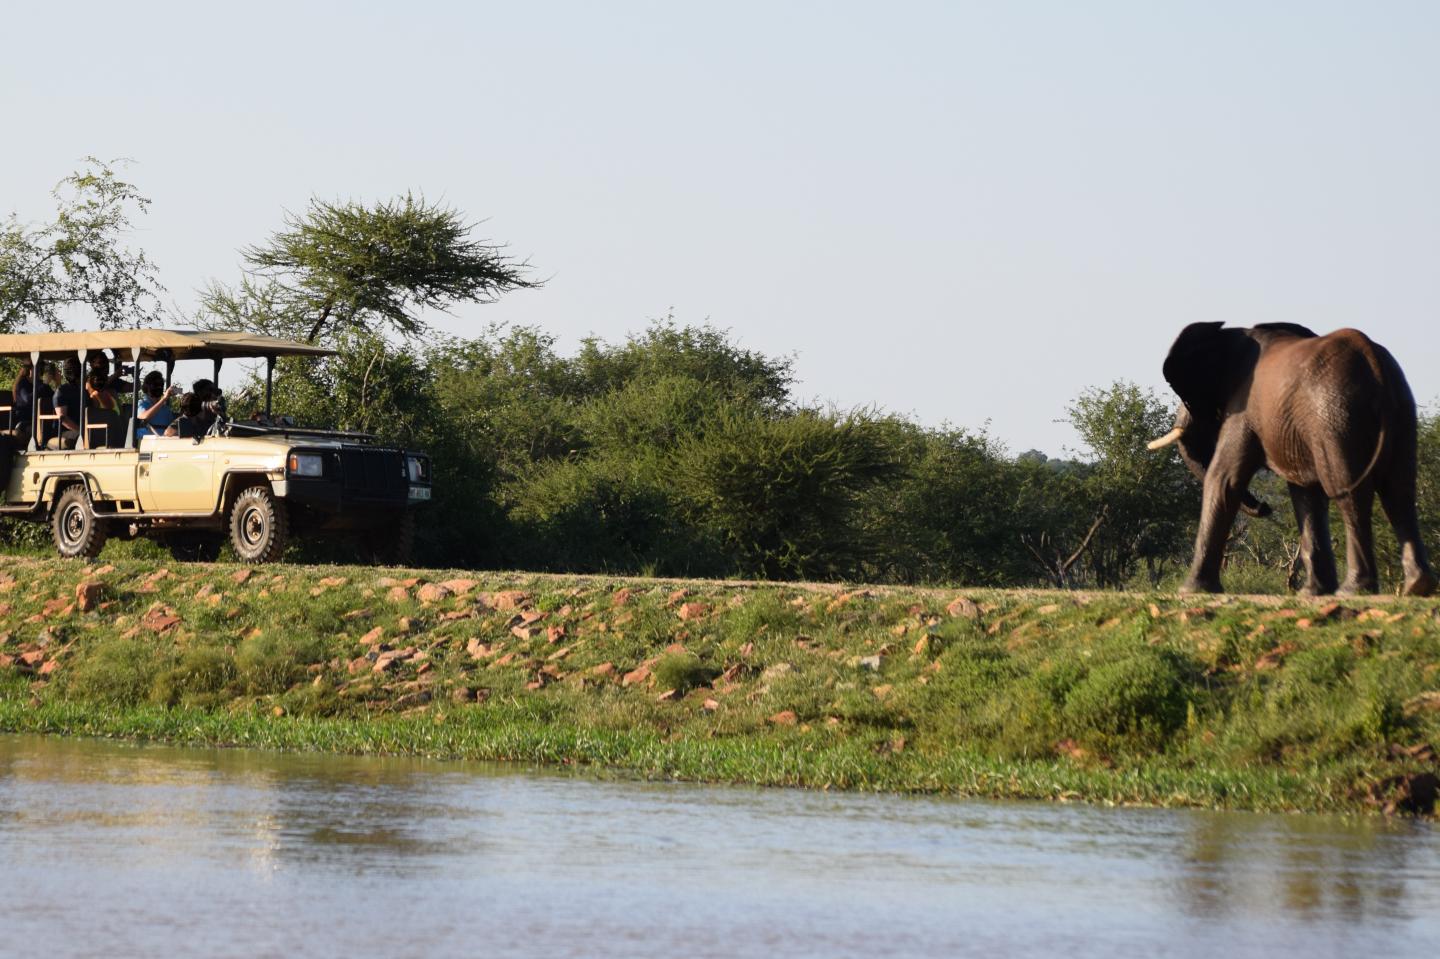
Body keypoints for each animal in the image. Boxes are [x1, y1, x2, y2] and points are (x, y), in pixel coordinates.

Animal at [1148, 322, 1436, 597]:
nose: (1265, 507)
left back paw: (1353, 590)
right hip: (1399, 412)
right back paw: (1418, 585)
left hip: (1338, 417)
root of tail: (1374, 360)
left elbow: (1224, 479)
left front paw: (1190, 590)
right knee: (1399, 493)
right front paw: (1313, 593)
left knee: (1350, 493)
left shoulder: (1243, 408)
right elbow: (1306, 493)